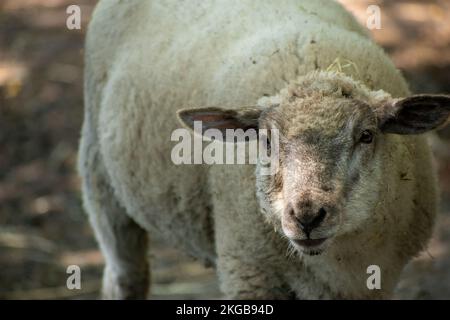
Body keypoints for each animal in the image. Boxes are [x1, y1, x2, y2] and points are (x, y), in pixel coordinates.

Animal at [80, 0, 450, 300]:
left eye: (367, 136)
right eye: (267, 141)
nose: (307, 216)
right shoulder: (249, 270)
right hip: (100, 177)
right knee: (126, 275)